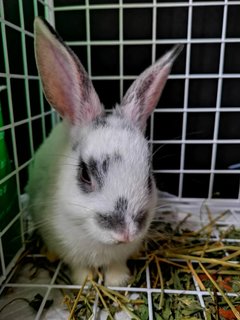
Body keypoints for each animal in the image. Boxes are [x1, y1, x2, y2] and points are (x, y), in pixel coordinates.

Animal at [27, 16, 182, 288]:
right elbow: (79, 267)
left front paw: (118, 281)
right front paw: (86, 282)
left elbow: (116, 266)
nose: (126, 233)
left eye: (148, 177)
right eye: (85, 175)